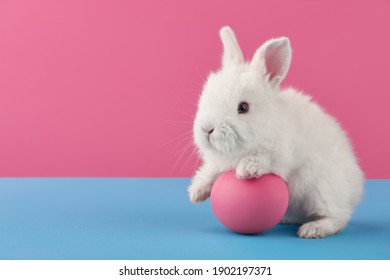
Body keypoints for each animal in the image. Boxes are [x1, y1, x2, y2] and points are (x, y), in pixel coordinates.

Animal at [187, 26, 364, 238]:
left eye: (243, 107)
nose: (207, 129)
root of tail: (355, 189)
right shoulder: (218, 163)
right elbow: (211, 171)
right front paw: (196, 193)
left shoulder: (282, 155)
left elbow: (265, 159)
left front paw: (246, 169)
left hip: (322, 188)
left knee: (339, 217)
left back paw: (313, 229)